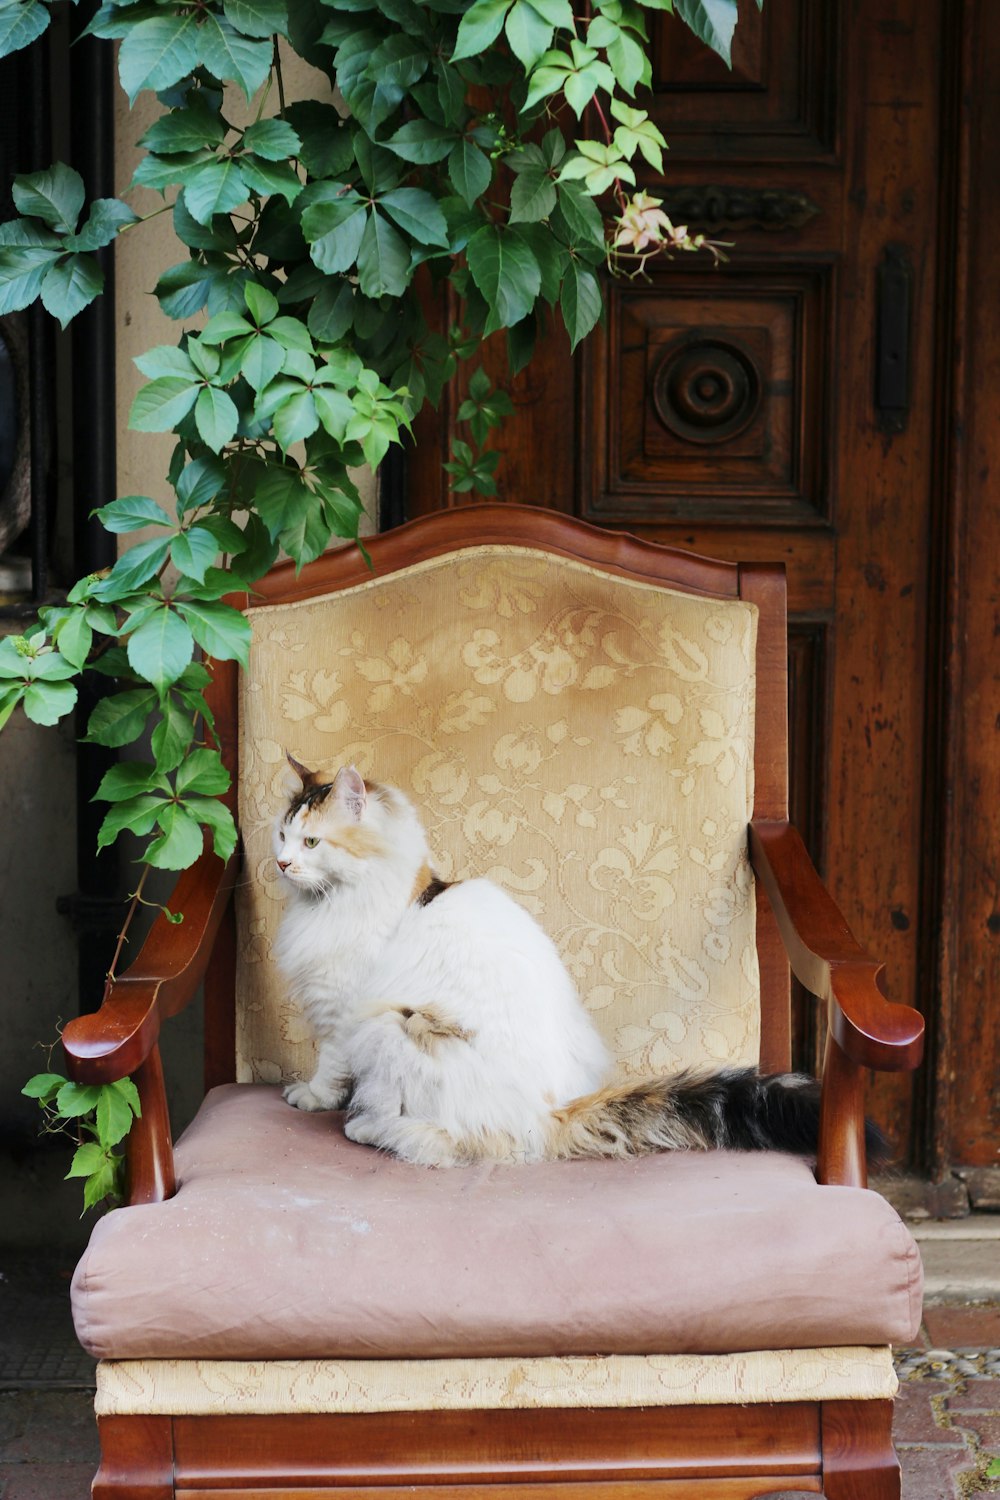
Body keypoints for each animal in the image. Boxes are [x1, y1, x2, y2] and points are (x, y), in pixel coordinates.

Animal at [275, 762, 851, 1170]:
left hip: (395, 1025)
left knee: (442, 1140)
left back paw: (367, 1128)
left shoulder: (344, 1009)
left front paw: (313, 1099)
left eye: (312, 842)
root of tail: (547, 1116)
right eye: (281, 836)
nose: (280, 864)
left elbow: (329, 1066)